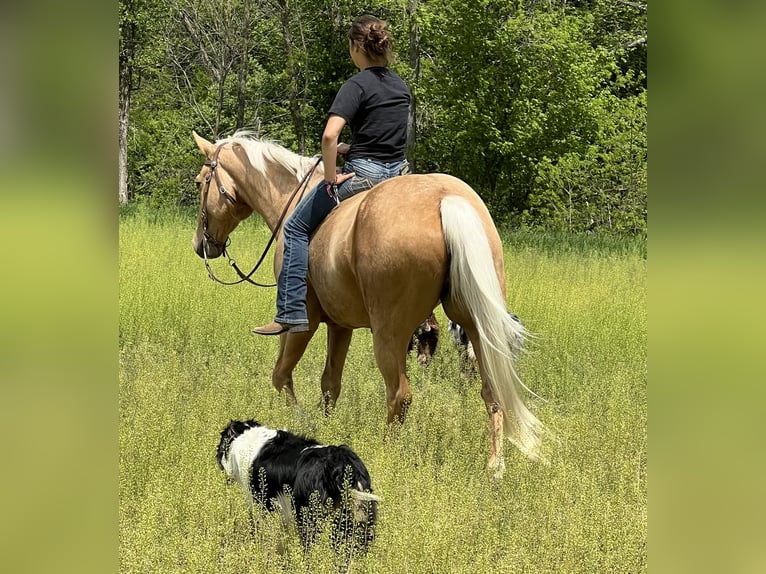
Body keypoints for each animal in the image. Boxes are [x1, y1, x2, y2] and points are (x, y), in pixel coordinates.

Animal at [191, 131, 544, 476]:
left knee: (400, 394)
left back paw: (386, 453)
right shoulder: (339, 325)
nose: (201, 245)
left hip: (390, 334)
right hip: (477, 327)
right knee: (492, 390)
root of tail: (447, 200)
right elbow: (330, 383)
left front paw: (303, 425)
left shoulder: (301, 323)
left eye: (199, 182)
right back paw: (495, 467)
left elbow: (281, 376)